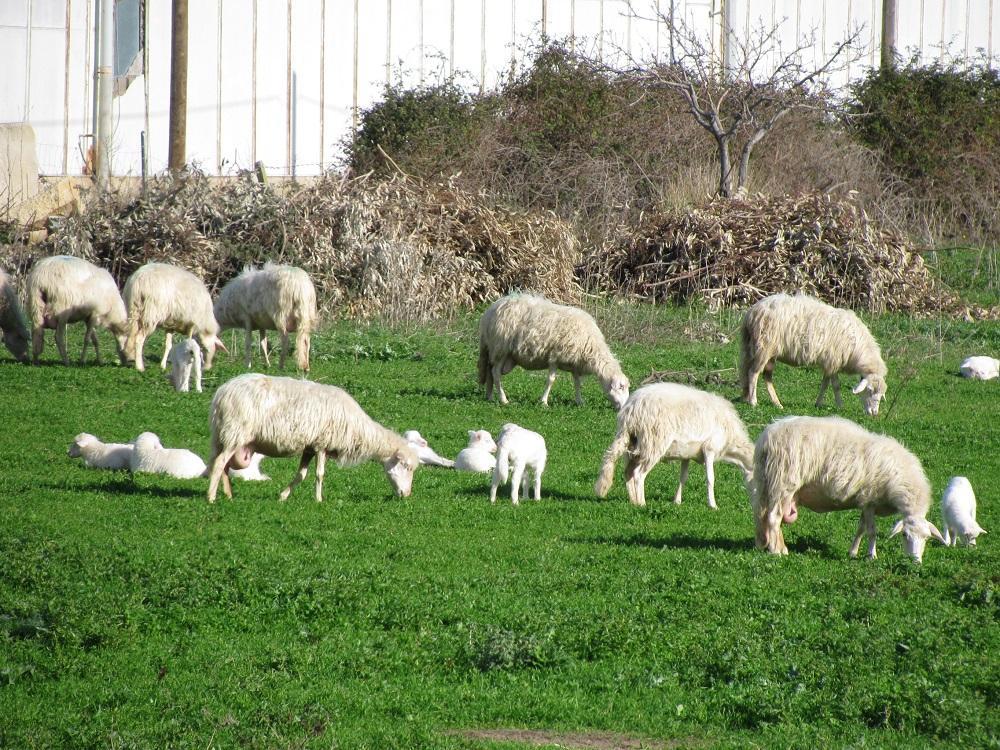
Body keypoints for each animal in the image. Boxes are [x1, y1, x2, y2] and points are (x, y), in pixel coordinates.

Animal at [206, 373, 418, 503]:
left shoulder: (309, 447)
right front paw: (318, 500)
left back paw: (228, 495)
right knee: (219, 464)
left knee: (224, 466)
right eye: (406, 466)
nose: (407, 494)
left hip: (222, 436)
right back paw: (211, 498)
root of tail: (222, 393)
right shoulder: (322, 444)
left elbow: (301, 475)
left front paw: (283, 496)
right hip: (235, 433)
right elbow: (319, 474)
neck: (359, 429)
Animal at [477, 293, 630, 409]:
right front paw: (544, 402)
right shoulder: (555, 357)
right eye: (621, 387)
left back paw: (489, 396)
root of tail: (489, 311)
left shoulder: (575, 363)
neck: (591, 345)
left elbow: (577, 383)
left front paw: (579, 401)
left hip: (497, 351)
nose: (624, 407)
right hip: (500, 348)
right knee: (495, 373)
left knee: (490, 371)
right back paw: (503, 399)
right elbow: (551, 380)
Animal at [594, 382, 755, 509]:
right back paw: (642, 503)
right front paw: (713, 505)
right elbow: (710, 478)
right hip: (653, 443)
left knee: (628, 472)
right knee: (638, 474)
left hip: (631, 444)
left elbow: (683, 477)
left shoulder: (687, 454)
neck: (731, 444)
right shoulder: (710, 449)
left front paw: (677, 501)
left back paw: (633, 501)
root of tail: (631, 410)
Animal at [740, 293, 888, 416]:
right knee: (753, 373)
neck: (857, 347)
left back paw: (776, 403)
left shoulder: (830, 362)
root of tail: (752, 312)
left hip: (763, 351)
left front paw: (819, 403)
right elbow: (835, 385)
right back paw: (753, 401)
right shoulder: (833, 360)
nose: (874, 413)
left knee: (765, 376)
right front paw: (839, 405)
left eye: (881, 395)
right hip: (764, 347)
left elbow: (826, 384)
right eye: (869, 390)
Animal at [752, 415, 946, 562]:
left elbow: (861, 528)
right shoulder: (870, 499)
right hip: (783, 482)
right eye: (904, 535)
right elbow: (872, 531)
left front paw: (853, 552)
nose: (915, 561)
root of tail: (766, 438)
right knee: (773, 518)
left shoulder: (865, 503)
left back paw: (773, 546)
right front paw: (872, 556)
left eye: (927, 538)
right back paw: (777, 552)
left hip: (766, 482)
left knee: (765, 516)